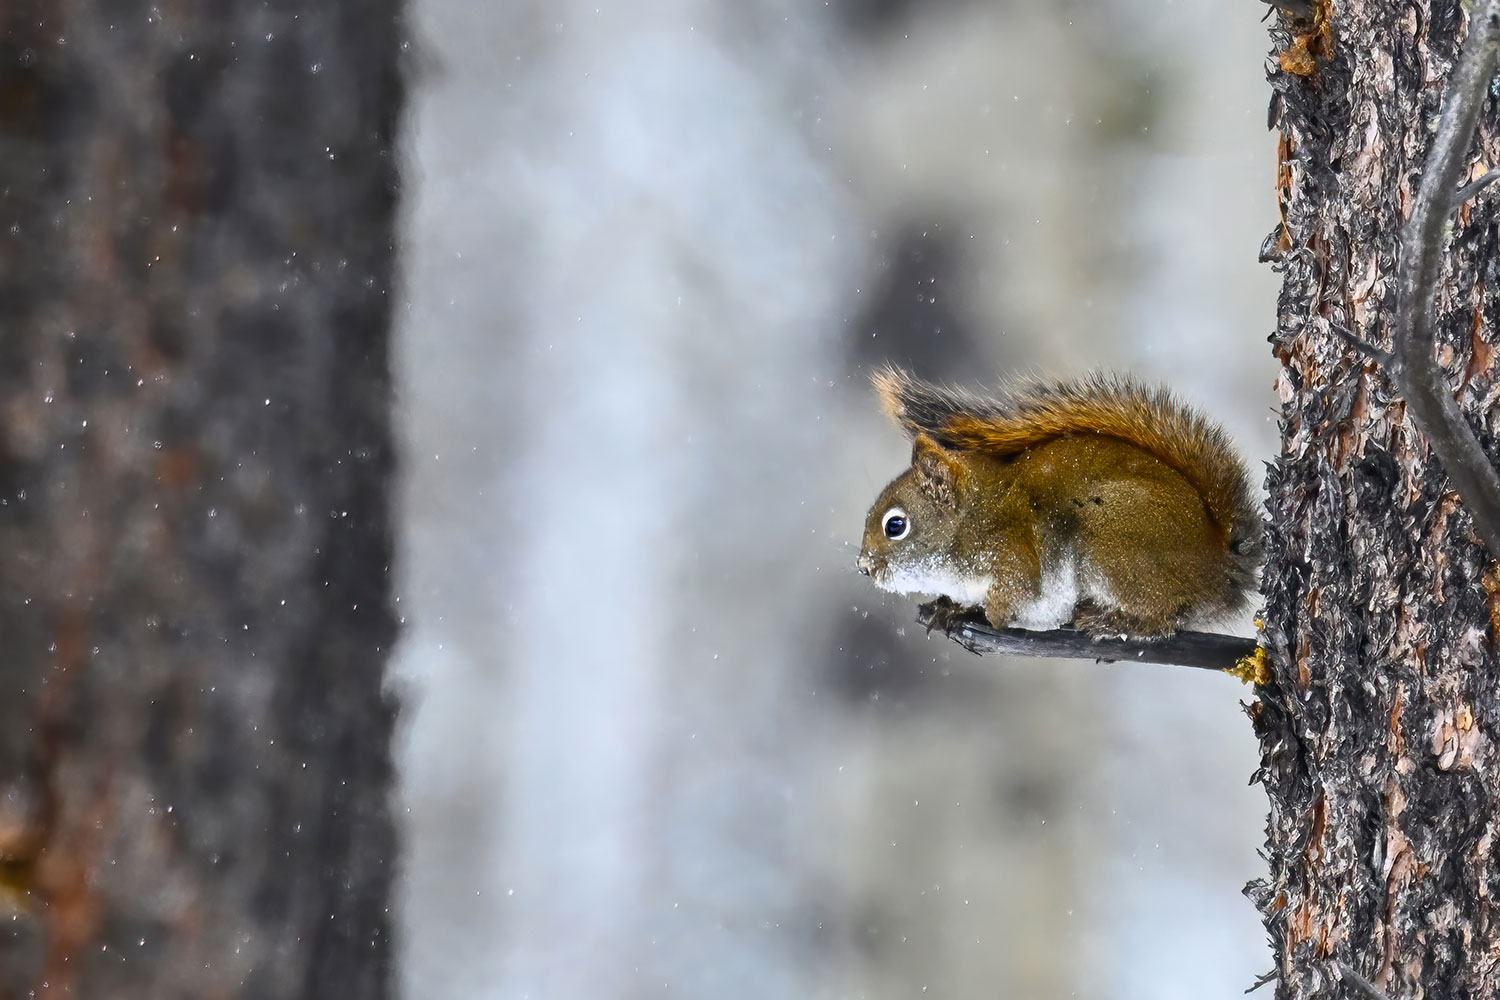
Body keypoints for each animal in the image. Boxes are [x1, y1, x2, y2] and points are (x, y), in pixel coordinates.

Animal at [856, 366, 1263, 639]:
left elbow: (1013, 596)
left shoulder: (1013, 555)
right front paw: (950, 608)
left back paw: (1111, 621)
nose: (863, 567)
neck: (968, 523)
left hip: (1113, 546)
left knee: (1163, 616)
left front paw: (989, 614)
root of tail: (1220, 564)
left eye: (896, 525)